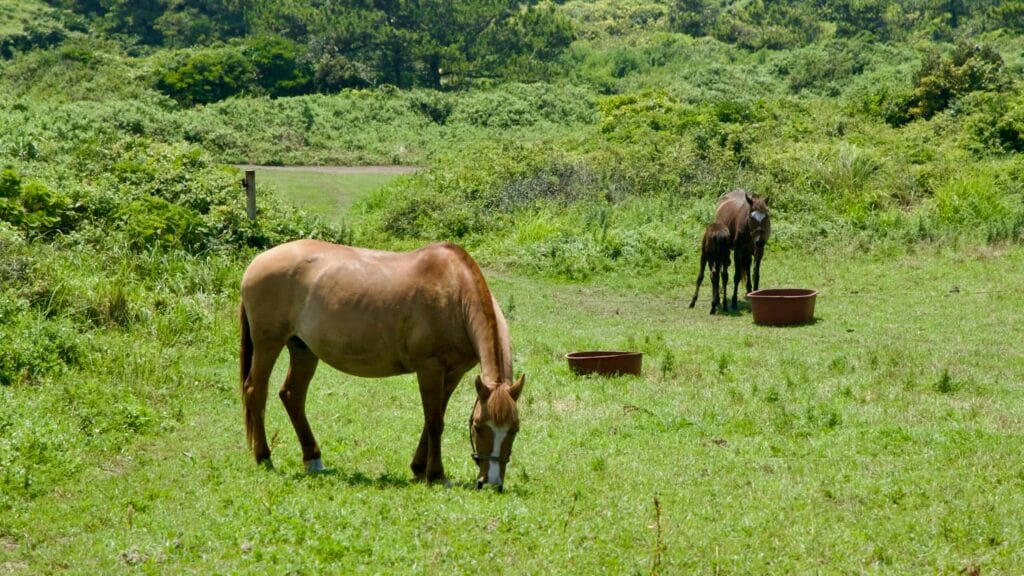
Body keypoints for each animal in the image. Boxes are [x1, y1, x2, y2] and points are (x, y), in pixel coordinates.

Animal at [239, 240, 524, 491]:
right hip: (268, 345)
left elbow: (434, 418)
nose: (491, 483)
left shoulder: (453, 374)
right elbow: (434, 422)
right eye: (478, 426)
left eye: (515, 429)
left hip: (303, 350)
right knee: (255, 392)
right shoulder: (430, 369)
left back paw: (313, 459)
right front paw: (436, 475)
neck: (455, 293)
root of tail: (256, 262)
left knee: (292, 396)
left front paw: (419, 469)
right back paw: (264, 457)